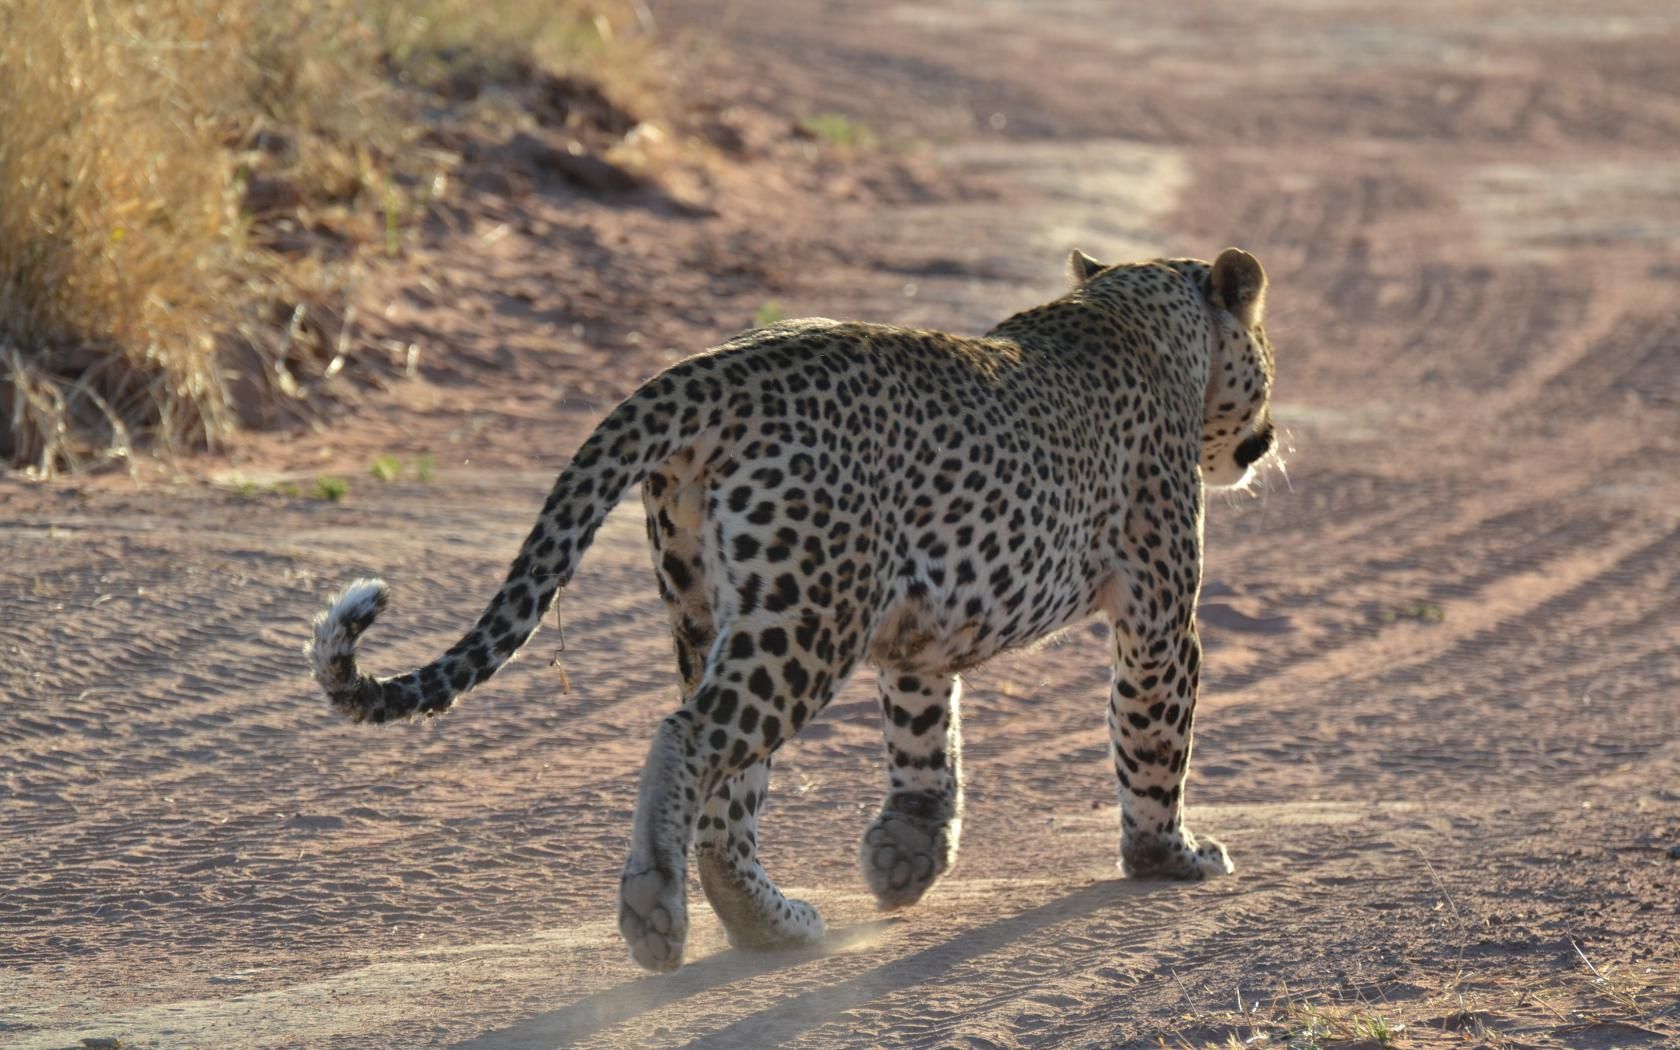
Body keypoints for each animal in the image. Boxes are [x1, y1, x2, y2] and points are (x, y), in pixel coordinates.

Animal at [305, 241, 1270, 967]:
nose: (1265, 438)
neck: (1139, 310)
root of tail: (712, 369)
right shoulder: (1160, 612)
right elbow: (1154, 739)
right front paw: (1170, 857)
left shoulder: (918, 635)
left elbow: (926, 743)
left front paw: (908, 855)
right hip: (809, 617)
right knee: (687, 737)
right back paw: (657, 911)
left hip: (717, 608)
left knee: (725, 794)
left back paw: (770, 924)